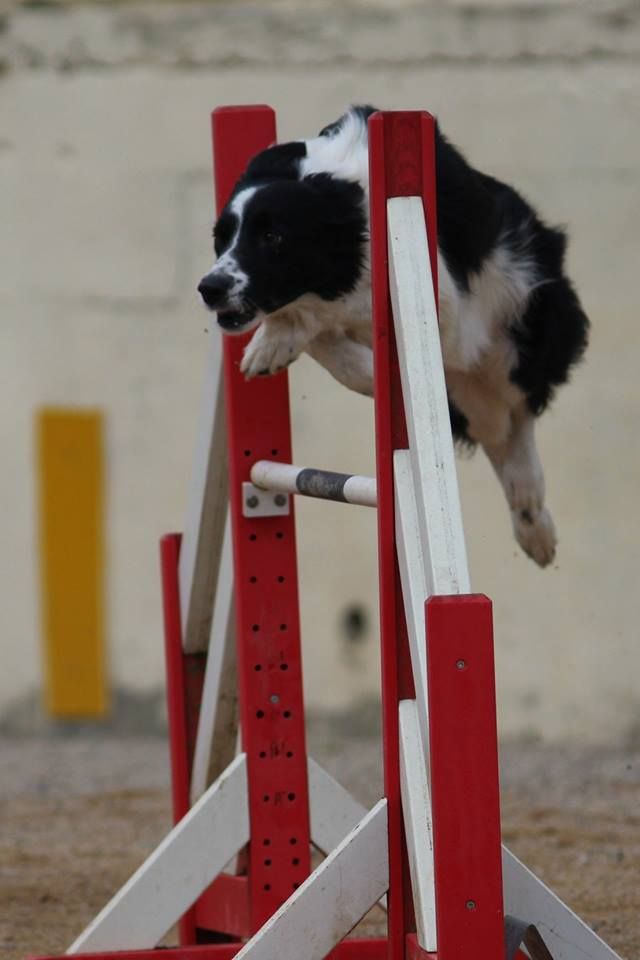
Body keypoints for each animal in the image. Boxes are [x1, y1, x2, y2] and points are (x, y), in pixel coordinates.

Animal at [198, 108, 588, 568]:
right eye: (221, 238)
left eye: (273, 237)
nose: (209, 288)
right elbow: (325, 340)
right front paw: (276, 347)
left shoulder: (445, 304)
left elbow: (331, 320)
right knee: (497, 427)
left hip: (518, 334)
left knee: (517, 420)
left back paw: (533, 521)